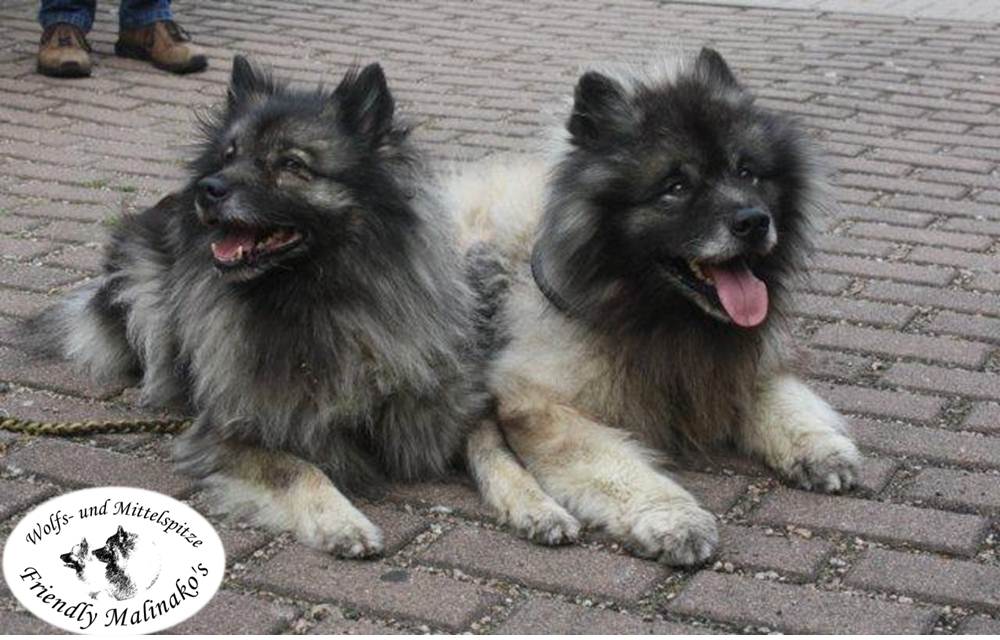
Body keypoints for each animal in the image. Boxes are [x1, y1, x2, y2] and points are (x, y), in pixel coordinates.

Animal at [27, 56, 484, 557]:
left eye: (291, 164)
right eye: (229, 155)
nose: (207, 188)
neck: (315, 301)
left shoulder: (430, 407)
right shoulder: (231, 432)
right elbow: (299, 469)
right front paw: (344, 523)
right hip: (143, 282)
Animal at [459, 48, 861, 565]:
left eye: (746, 172)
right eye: (675, 187)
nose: (754, 221)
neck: (657, 314)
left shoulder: (734, 366)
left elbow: (783, 400)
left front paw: (821, 448)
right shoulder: (540, 404)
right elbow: (620, 466)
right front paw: (675, 519)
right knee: (481, 443)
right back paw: (538, 512)